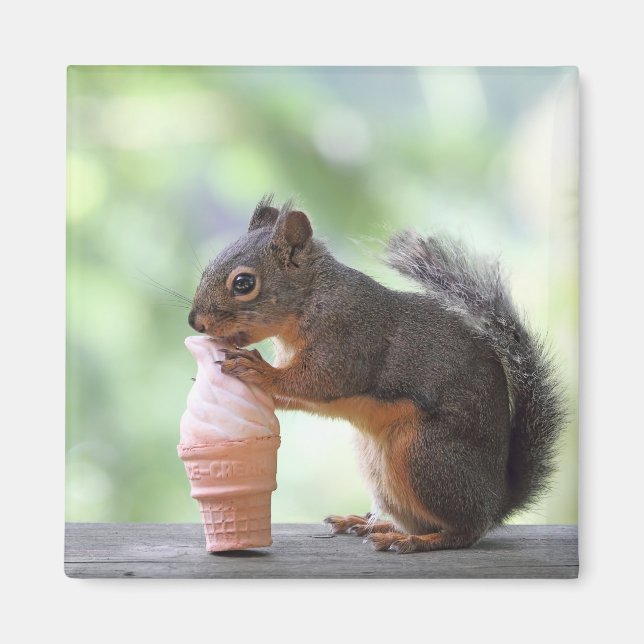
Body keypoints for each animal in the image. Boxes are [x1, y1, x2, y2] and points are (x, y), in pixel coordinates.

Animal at [188, 195, 565, 553]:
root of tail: (496, 501)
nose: (195, 322)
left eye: (244, 283)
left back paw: (413, 541)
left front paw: (259, 370)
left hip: (425, 454)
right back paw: (372, 524)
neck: (312, 297)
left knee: (464, 531)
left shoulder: (346, 339)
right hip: (380, 468)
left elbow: (317, 380)